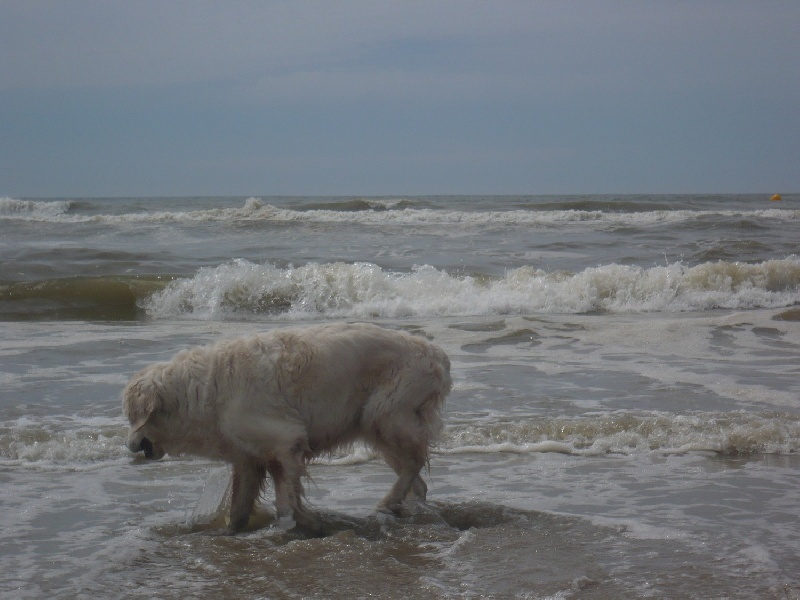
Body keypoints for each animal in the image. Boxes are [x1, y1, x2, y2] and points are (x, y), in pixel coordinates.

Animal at [122, 324, 454, 536]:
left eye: (131, 417)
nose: (129, 446)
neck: (200, 393)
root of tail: (438, 352)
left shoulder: (285, 440)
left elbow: (286, 497)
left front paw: (300, 524)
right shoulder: (250, 458)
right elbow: (241, 504)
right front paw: (230, 533)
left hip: (385, 414)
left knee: (413, 463)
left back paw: (387, 503)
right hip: (379, 427)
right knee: (417, 480)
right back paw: (404, 509)